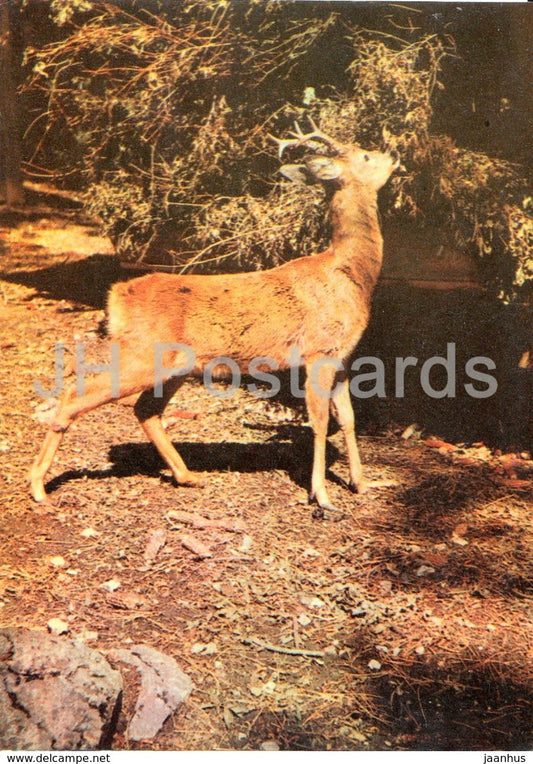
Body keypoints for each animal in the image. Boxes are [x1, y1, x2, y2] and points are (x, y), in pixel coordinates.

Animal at [29, 119, 398, 514]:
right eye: (365, 156)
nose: (393, 154)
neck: (350, 272)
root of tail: (117, 296)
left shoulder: (341, 355)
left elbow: (348, 419)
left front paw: (362, 483)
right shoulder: (318, 351)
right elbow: (319, 421)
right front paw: (322, 496)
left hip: (173, 366)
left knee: (145, 410)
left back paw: (188, 476)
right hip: (141, 354)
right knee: (74, 395)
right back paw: (37, 486)